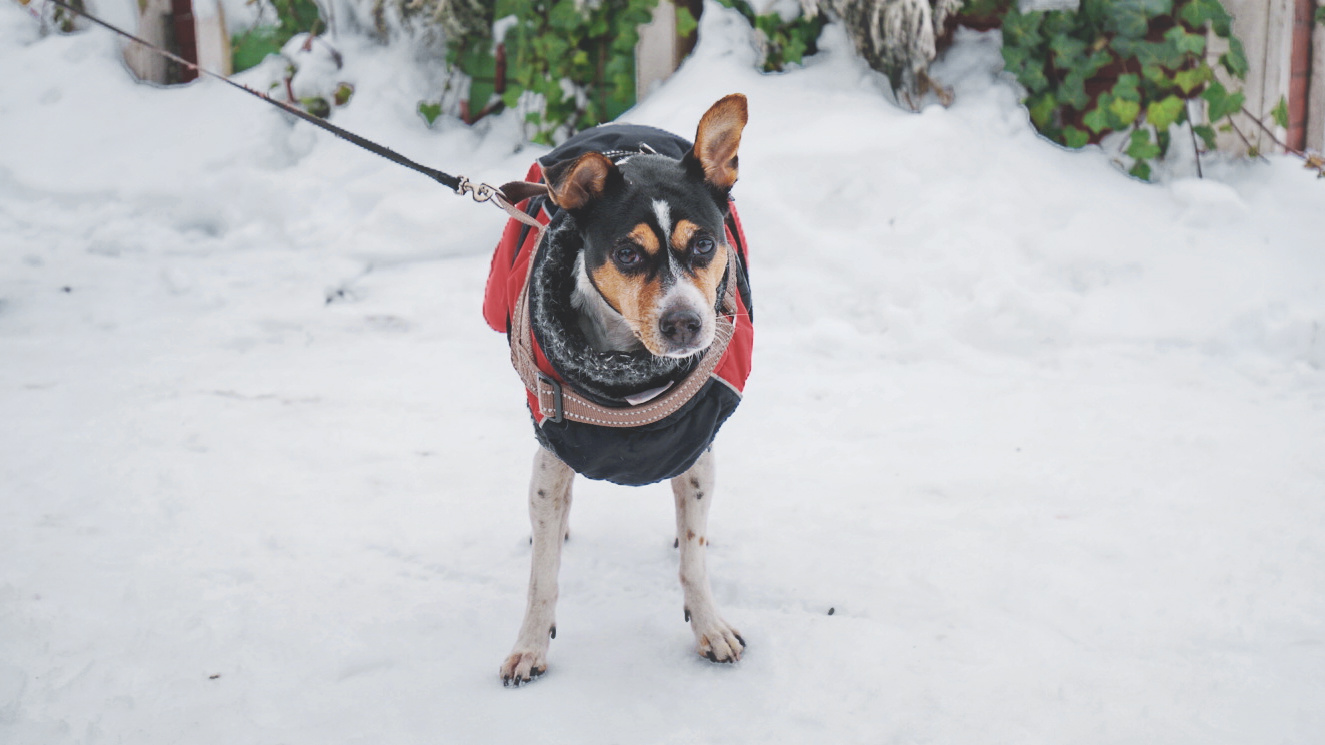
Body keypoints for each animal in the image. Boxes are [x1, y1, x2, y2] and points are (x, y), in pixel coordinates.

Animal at [484, 94, 757, 684]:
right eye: (629, 254)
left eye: (705, 243)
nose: (685, 324)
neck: (629, 375)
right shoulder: (554, 447)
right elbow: (542, 576)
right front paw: (530, 645)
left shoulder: (694, 445)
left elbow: (694, 560)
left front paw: (709, 626)